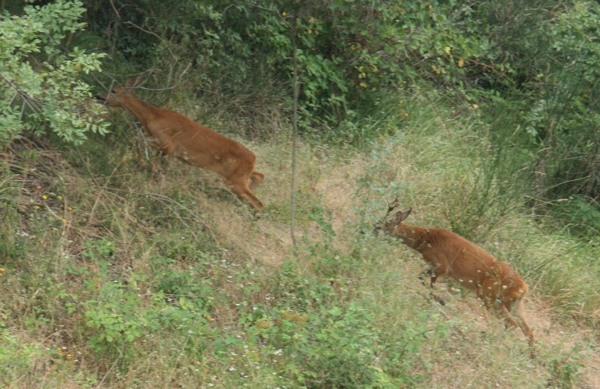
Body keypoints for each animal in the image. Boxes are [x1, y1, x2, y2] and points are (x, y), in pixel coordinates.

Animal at [96, 76, 264, 212]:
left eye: (113, 90)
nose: (98, 96)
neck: (151, 117)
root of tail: (253, 158)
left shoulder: (167, 143)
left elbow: (137, 140)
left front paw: (139, 164)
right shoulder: (164, 148)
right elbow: (154, 162)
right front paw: (147, 169)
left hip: (234, 179)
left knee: (259, 202)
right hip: (240, 174)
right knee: (259, 176)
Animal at [376, 199, 536, 348]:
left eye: (380, 225)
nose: (372, 231)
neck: (424, 239)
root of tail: (524, 288)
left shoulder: (442, 265)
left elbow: (427, 280)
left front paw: (439, 300)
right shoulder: (437, 267)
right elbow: (422, 277)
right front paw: (436, 299)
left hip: (489, 295)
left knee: (512, 323)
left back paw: (491, 340)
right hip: (513, 303)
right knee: (528, 330)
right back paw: (529, 355)